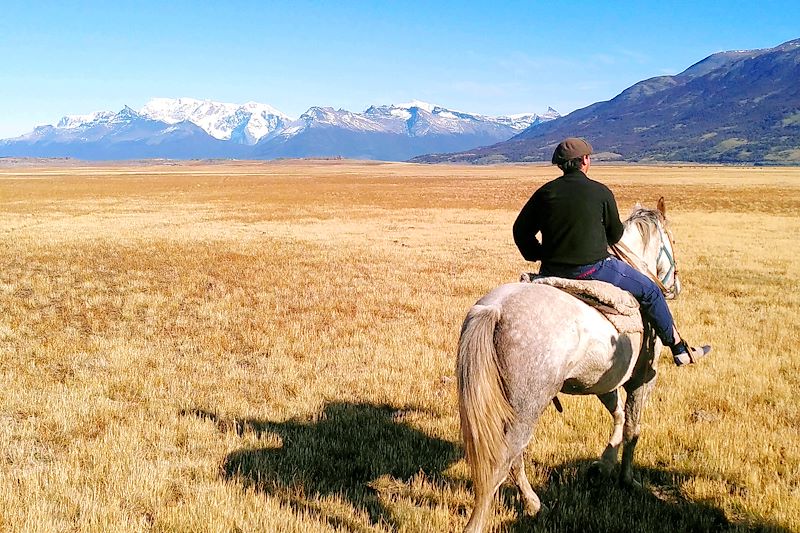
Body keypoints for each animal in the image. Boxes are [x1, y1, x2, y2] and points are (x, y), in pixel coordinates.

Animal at [456, 197, 680, 528]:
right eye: (672, 240)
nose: (675, 286)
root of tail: (495, 310)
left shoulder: (604, 380)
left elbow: (618, 415)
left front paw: (604, 464)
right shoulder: (642, 380)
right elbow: (633, 428)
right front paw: (628, 479)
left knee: (514, 458)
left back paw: (533, 504)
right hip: (527, 407)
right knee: (503, 461)